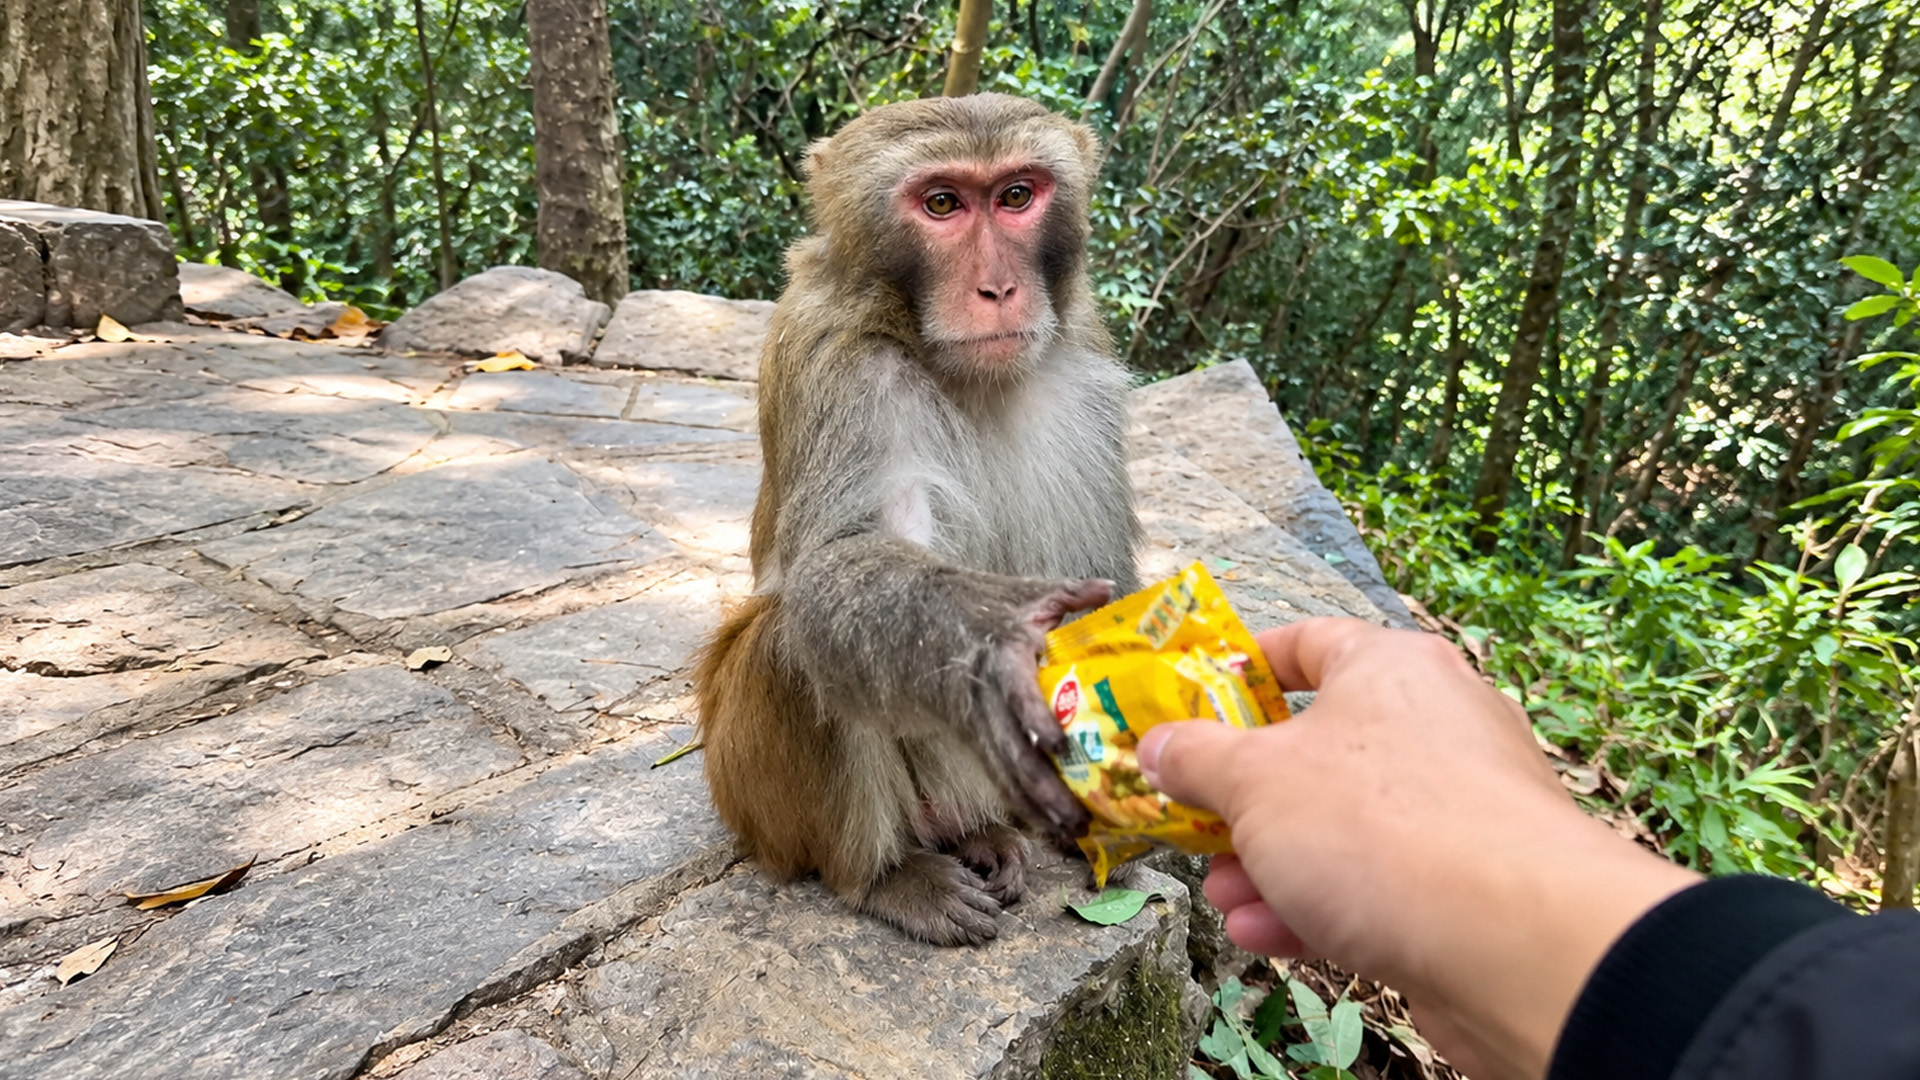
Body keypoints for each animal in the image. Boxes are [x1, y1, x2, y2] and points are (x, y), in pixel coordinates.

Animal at [693, 93, 1139, 947]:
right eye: (942, 205)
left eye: (1016, 196)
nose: (998, 288)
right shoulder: (839, 364)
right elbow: (839, 565)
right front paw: (991, 639)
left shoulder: (1084, 359)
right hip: (749, 797)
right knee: (793, 643)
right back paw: (886, 876)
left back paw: (979, 835)